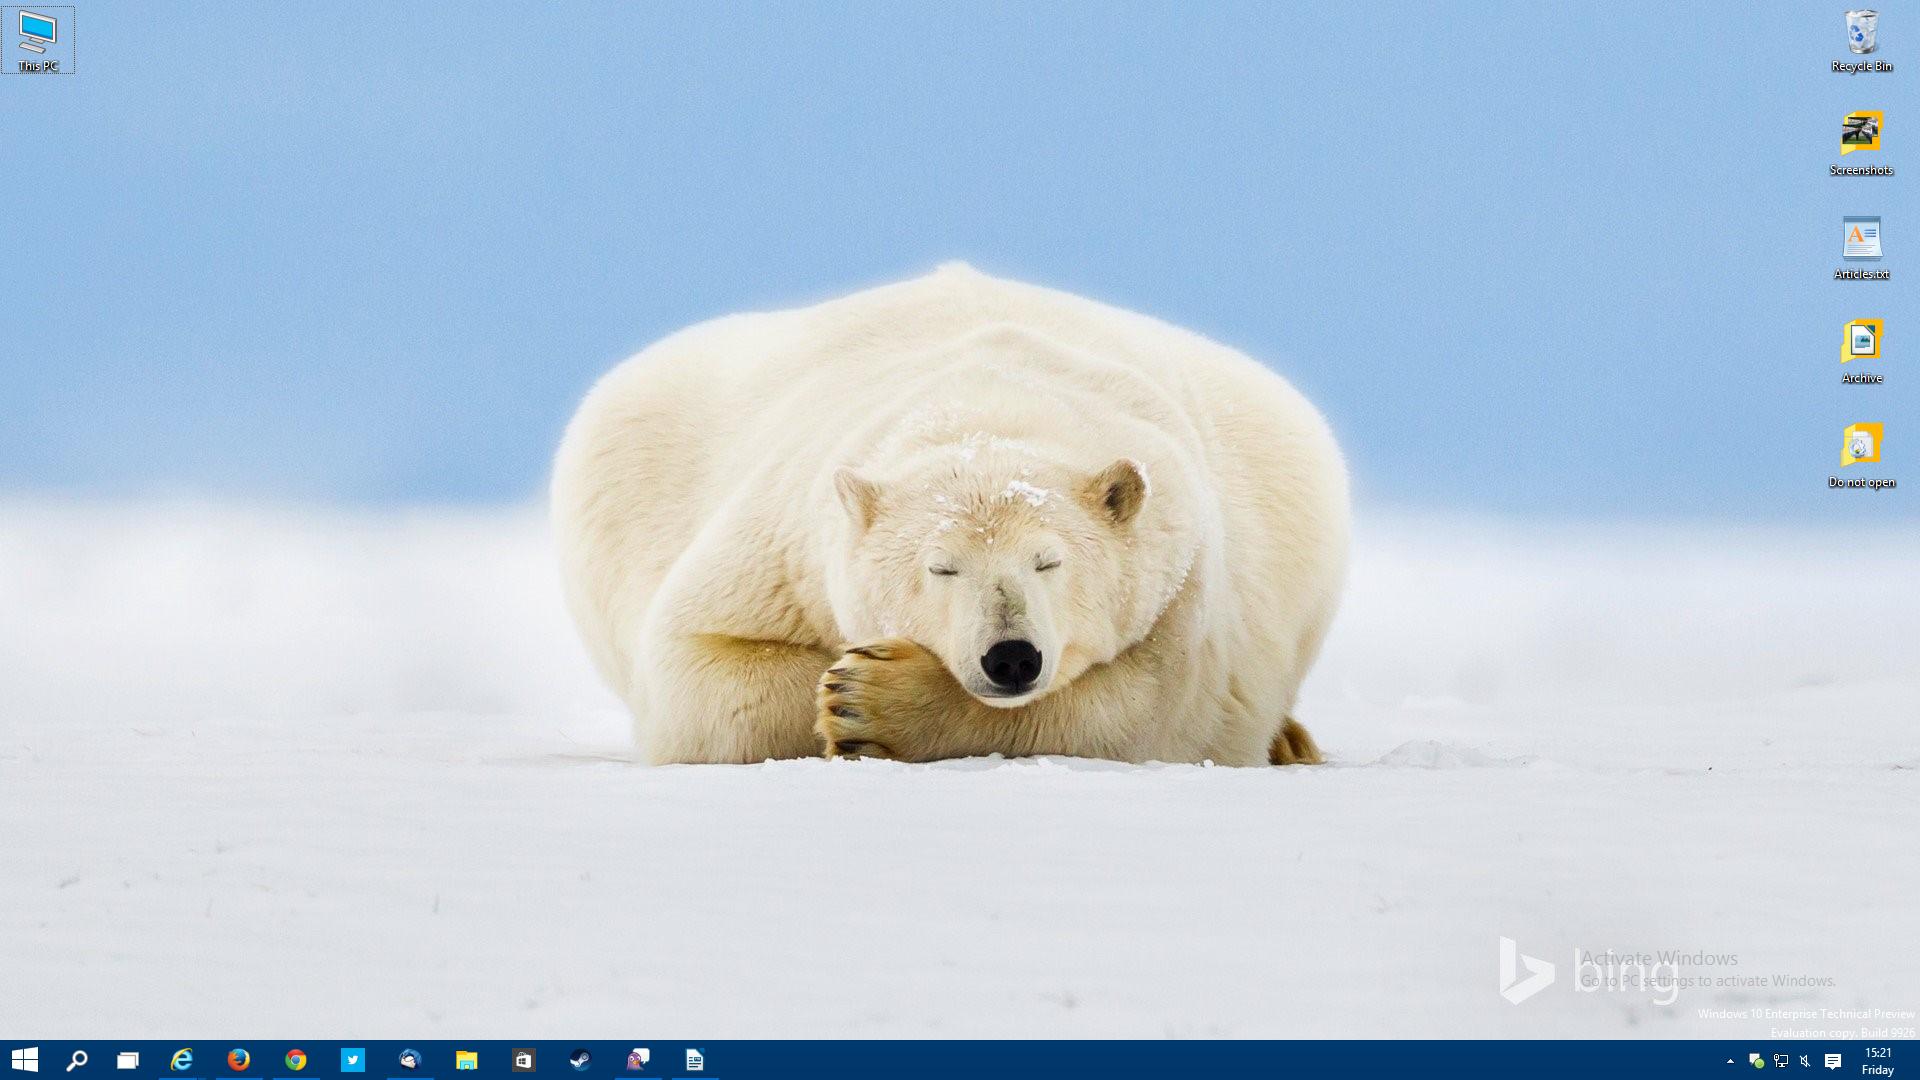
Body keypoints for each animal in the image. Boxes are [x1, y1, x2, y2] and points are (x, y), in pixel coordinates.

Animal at [550, 263, 1349, 766]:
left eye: (1049, 562)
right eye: (941, 568)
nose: (1011, 656)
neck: (991, 400)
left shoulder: (1186, 577)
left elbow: (1154, 710)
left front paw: (874, 700)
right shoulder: (782, 545)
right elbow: (696, 668)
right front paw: (841, 685)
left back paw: (1292, 742)